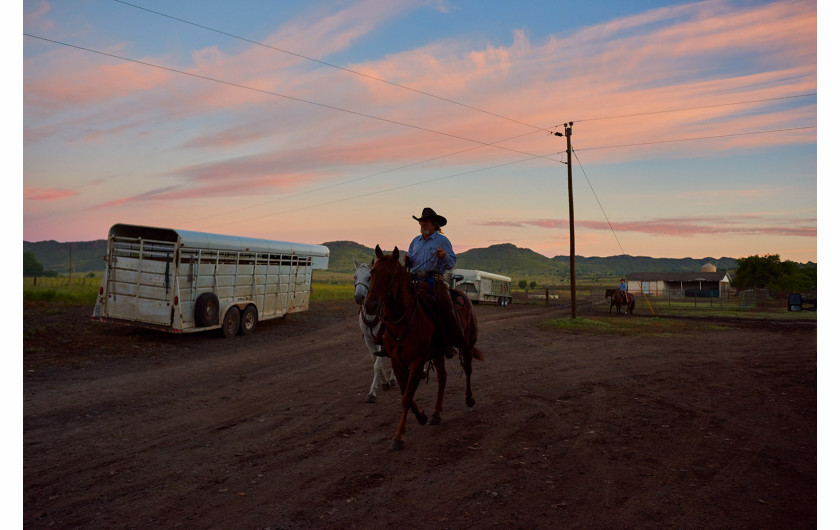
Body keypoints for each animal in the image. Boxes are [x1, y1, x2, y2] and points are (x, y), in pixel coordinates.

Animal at [352, 256, 398, 400]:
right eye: (355, 276)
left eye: (369, 277)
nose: (359, 297)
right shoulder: (368, 339)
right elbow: (375, 361)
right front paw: (385, 382)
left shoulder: (382, 339)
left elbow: (377, 365)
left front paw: (372, 392)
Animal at [362, 244, 486, 450]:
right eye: (372, 273)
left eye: (391, 276)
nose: (370, 305)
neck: (403, 320)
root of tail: (464, 296)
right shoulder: (397, 361)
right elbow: (406, 394)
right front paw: (422, 416)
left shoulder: (417, 361)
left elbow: (406, 397)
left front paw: (398, 437)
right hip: (438, 353)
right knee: (443, 378)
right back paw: (436, 414)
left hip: (467, 344)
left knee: (467, 369)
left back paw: (469, 399)